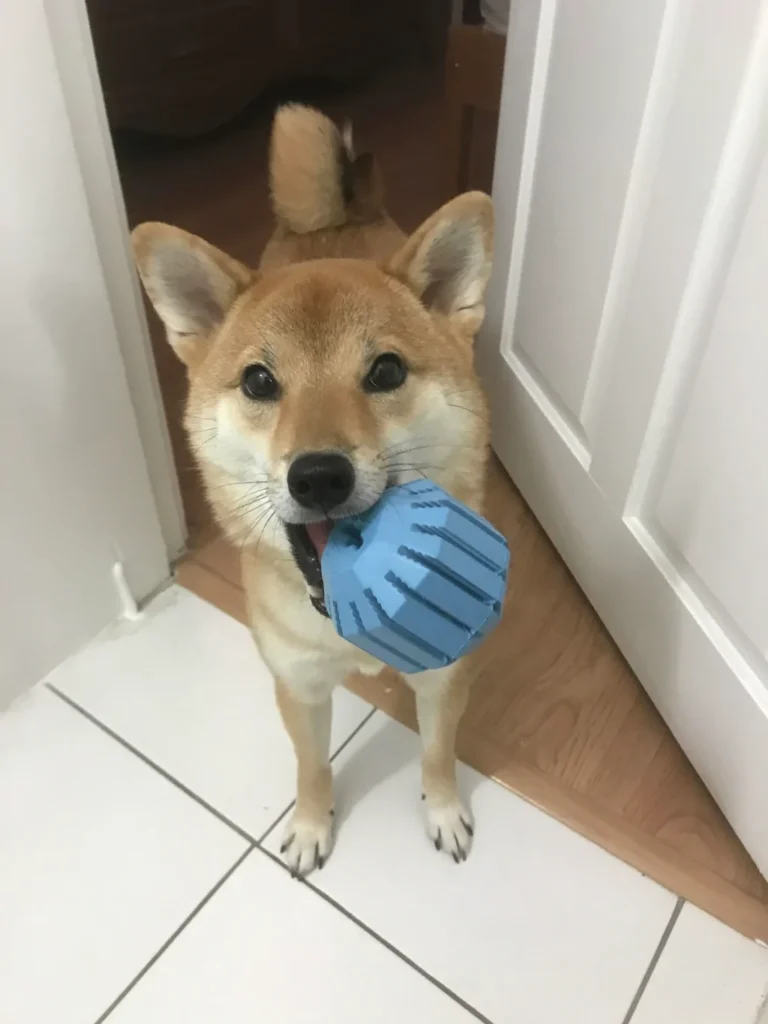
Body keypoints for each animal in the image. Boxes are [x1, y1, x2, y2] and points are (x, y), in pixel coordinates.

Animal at [134, 105, 495, 880]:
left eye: (386, 372)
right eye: (259, 382)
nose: (319, 474)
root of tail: (333, 220)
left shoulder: (445, 675)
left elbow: (437, 752)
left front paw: (444, 812)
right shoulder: (297, 684)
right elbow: (311, 766)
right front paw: (310, 825)